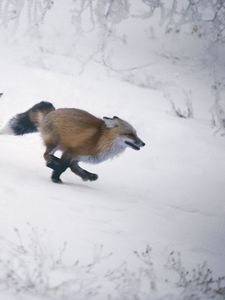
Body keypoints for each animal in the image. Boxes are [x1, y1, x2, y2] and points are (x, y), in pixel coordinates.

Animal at [0, 101, 145, 183]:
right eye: (130, 134)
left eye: (136, 134)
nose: (143, 144)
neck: (100, 139)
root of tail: (52, 111)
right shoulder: (71, 152)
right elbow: (64, 167)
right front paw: (55, 178)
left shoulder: (78, 157)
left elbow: (74, 168)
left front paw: (88, 176)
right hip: (55, 143)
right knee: (46, 155)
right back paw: (52, 163)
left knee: (51, 158)